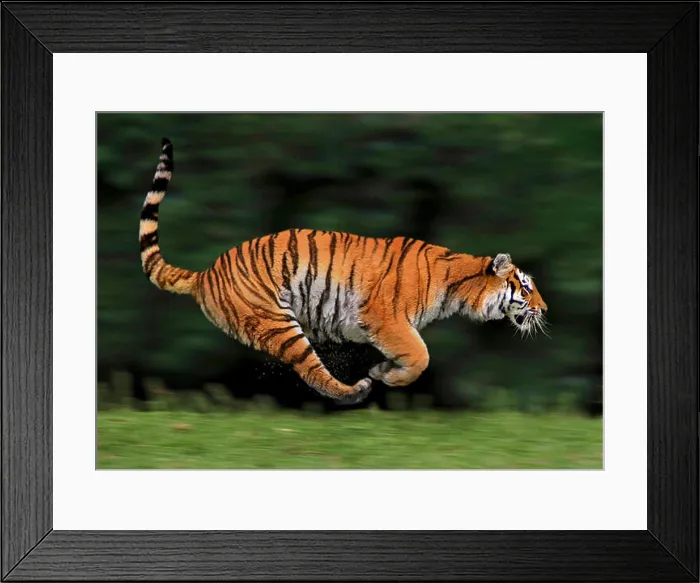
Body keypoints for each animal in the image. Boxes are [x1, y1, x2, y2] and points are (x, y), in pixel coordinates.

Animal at [139, 138, 548, 405]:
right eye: (526, 288)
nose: (545, 310)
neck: (457, 289)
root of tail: (206, 273)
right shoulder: (387, 319)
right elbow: (421, 356)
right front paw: (388, 377)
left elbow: (411, 354)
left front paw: (384, 370)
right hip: (277, 323)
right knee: (312, 370)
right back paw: (355, 392)